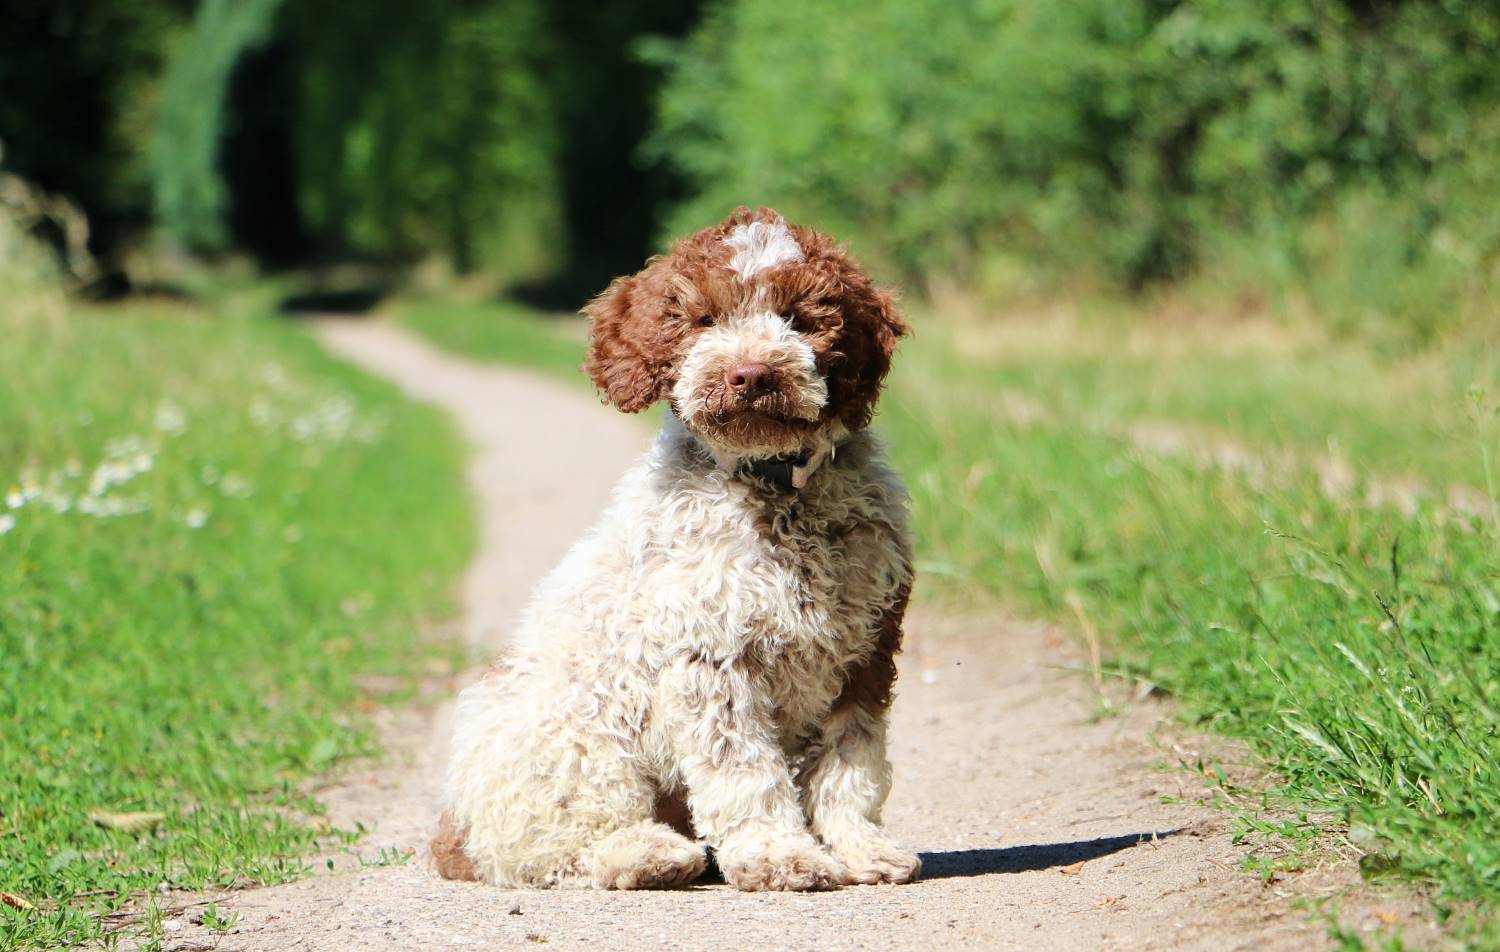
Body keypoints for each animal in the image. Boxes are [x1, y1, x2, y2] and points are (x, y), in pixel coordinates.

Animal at [432, 205, 912, 887]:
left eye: (799, 318)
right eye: (704, 319)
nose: (752, 374)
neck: (775, 490)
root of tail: (455, 830)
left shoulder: (867, 649)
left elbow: (852, 765)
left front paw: (860, 848)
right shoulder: (713, 655)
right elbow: (745, 770)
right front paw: (779, 854)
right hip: (577, 734)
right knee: (559, 847)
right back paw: (647, 854)